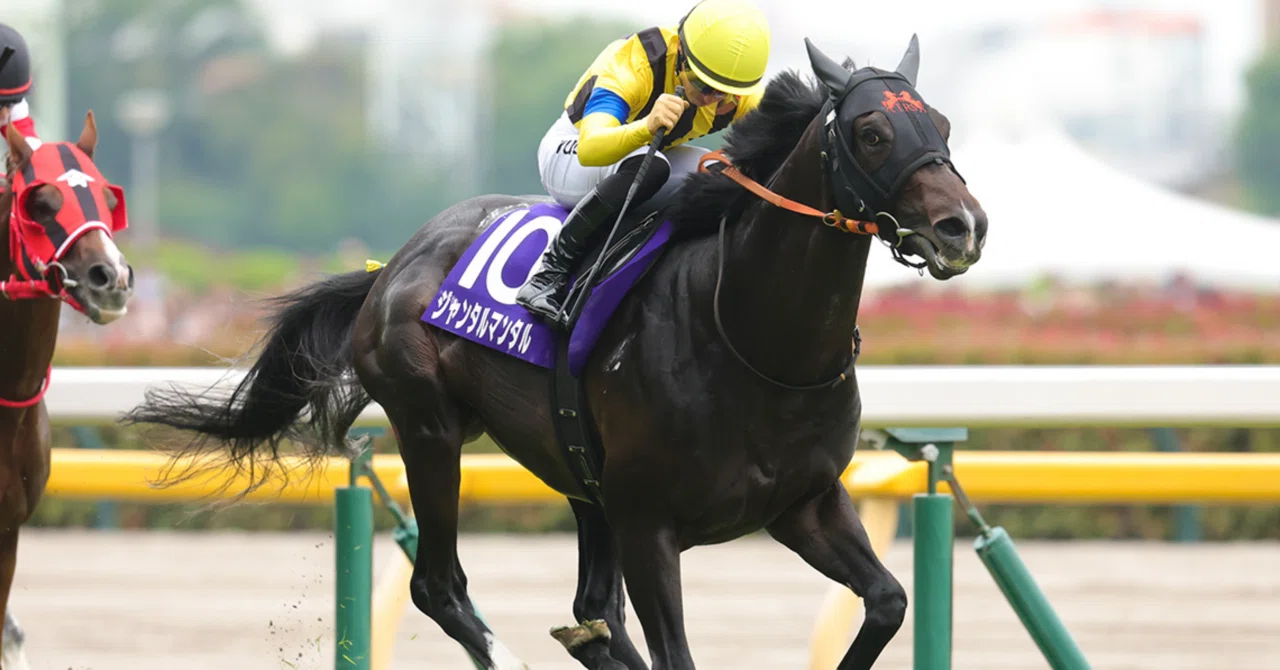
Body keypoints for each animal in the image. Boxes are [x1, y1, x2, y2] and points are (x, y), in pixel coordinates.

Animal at [124, 37, 985, 669]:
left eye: (942, 126)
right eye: (873, 132)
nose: (963, 228)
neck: (755, 342)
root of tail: (394, 263)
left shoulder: (804, 503)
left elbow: (887, 602)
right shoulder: (649, 524)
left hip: (576, 471)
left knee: (589, 612)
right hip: (430, 428)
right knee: (441, 585)